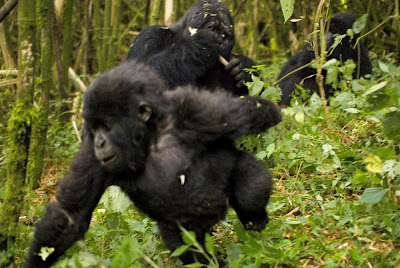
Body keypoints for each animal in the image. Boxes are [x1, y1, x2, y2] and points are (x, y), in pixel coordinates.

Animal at [25, 61, 282, 266]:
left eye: (107, 125)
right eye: (94, 128)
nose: (99, 143)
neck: (149, 138)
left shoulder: (194, 109)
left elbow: (258, 112)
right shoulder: (91, 155)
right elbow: (70, 215)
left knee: (249, 182)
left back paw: (255, 217)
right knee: (187, 244)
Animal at [126, 0, 256, 96]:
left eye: (225, 35)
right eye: (212, 29)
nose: (220, 41)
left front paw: (244, 68)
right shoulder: (150, 36)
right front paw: (199, 48)